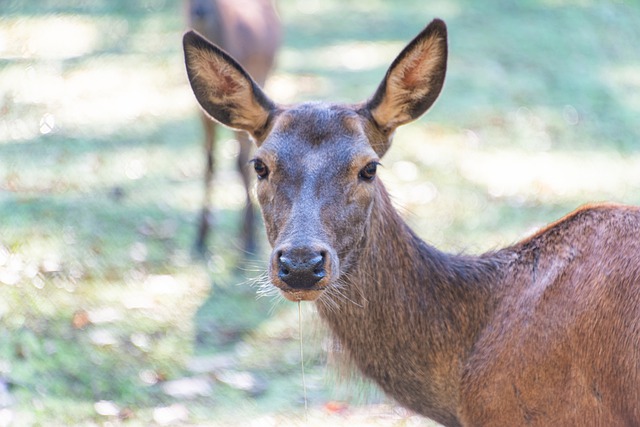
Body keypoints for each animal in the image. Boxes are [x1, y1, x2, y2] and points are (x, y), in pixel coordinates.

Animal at [184, 0, 282, 254]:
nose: (200, 12)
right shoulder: (202, 112)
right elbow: (209, 161)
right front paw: (200, 238)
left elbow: (240, 161)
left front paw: (248, 241)